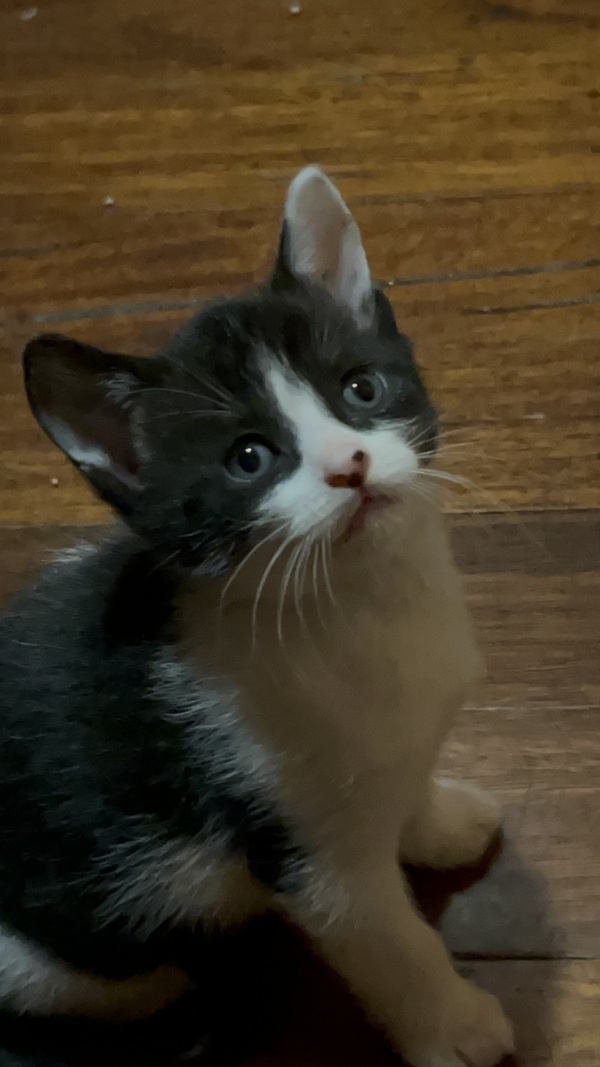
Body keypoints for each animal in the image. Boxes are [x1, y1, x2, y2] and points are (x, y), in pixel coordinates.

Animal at [0, 166, 514, 1067]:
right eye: (249, 458)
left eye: (361, 388)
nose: (350, 464)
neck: (354, 609)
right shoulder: (301, 843)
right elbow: (388, 940)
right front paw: (456, 1027)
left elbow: (402, 778)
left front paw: (438, 821)